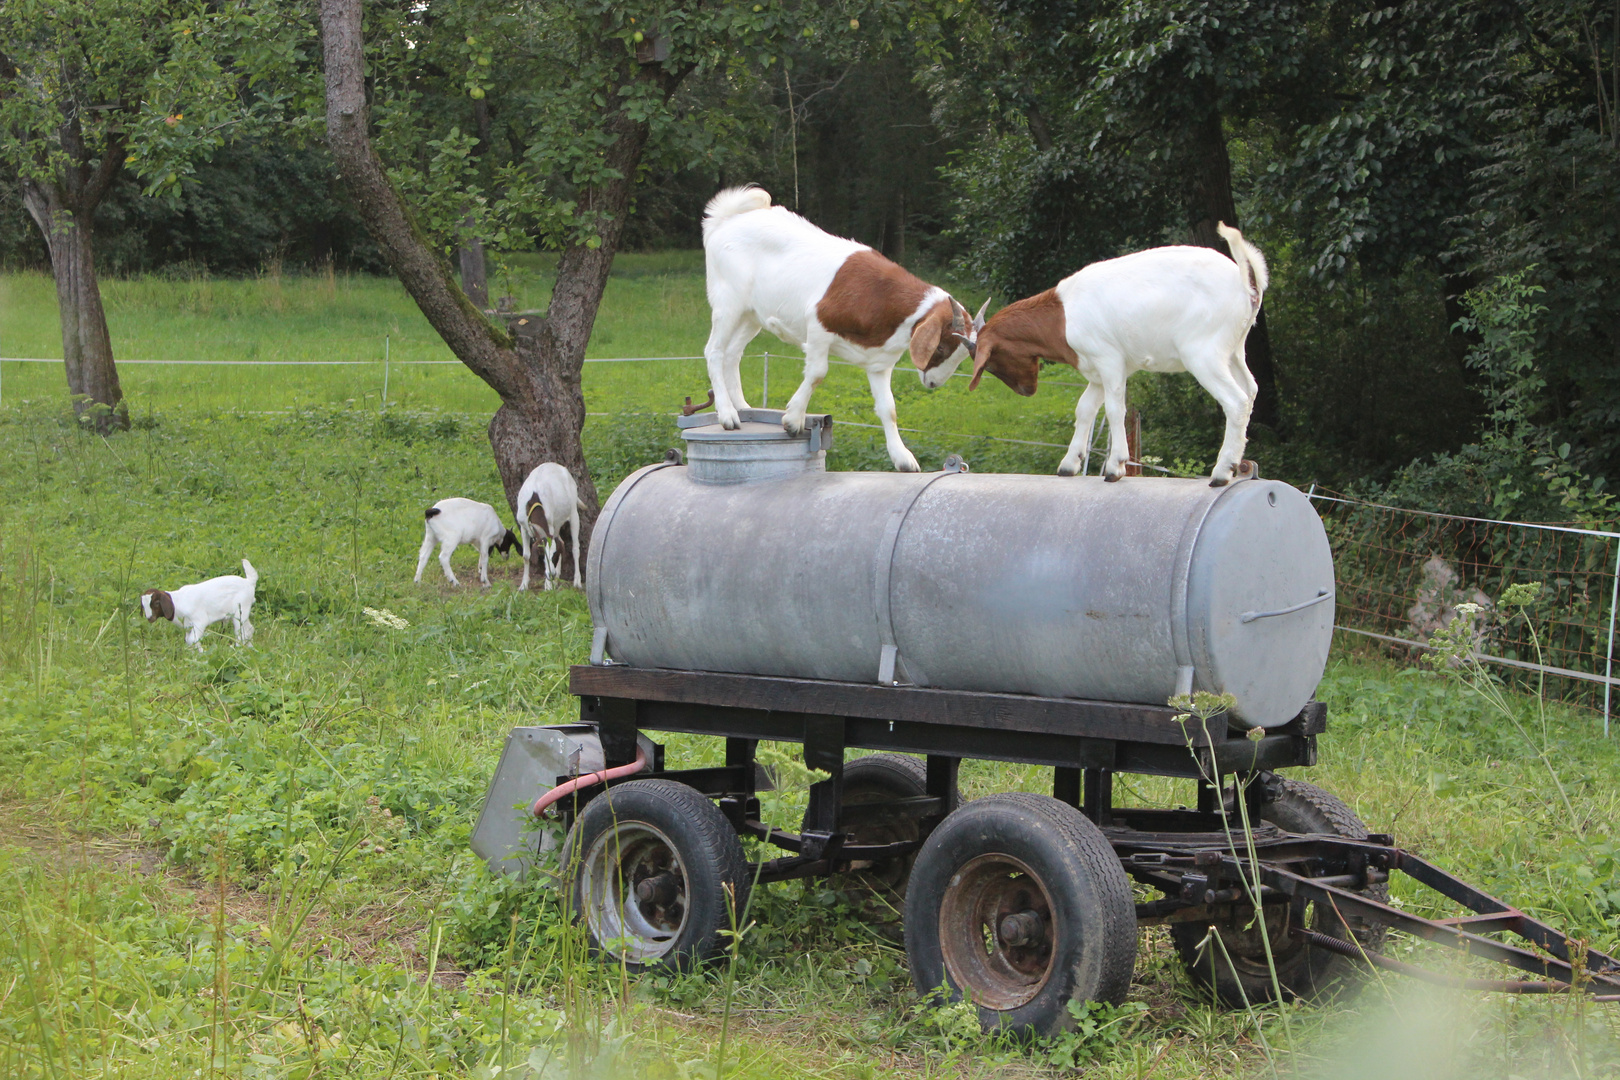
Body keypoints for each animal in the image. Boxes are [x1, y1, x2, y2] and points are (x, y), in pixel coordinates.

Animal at [515, 463, 586, 592]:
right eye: (542, 554)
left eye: (555, 554)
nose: (551, 574)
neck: (534, 501)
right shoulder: (523, 527)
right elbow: (526, 555)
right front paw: (523, 585)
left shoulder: (550, 524)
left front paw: (548, 585)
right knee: (562, 541)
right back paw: (557, 577)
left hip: (573, 513)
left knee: (575, 548)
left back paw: (576, 581)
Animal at [696, 186, 972, 472]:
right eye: (940, 347)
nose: (933, 383)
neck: (880, 295)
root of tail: (726, 220)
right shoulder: (819, 324)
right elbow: (818, 372)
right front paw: (793, 419)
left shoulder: (879, 362)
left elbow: (889, 408)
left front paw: (903, 458)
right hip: (728, 303)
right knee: (714, 351)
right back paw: (728, 414)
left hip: (752, 315)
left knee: (733, 353)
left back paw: (743, 407)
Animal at [959, 223, 1263, 485]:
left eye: (990, 363)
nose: (1027, 391)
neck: (1063, 316)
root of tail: (1246, 283)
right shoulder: (1095, 370)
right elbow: (1084, 409)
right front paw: (1069, 464)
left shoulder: (1109, 359)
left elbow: (1115, 409)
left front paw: (1115, 466)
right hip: (1233, 351)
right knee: (1250, 392)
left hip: (1203, 353)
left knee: (1235, 401)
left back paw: (1222, 472)